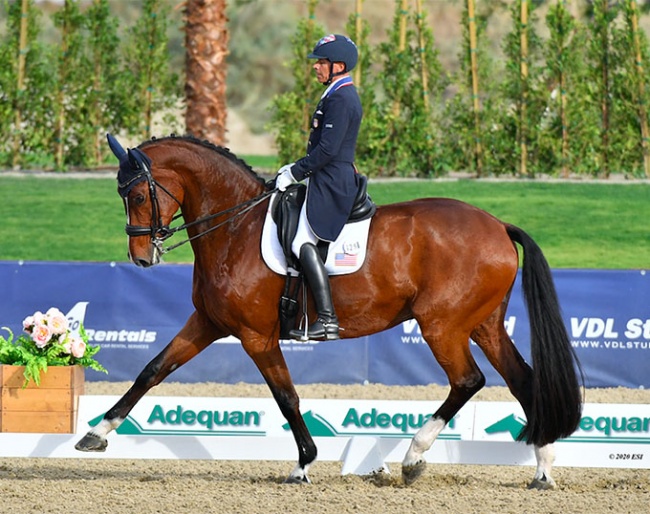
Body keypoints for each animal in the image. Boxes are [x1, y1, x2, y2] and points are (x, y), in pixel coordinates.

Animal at [73, 134, 580, 486]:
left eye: (138, 195)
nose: (142, 258)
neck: (235, 226)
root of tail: (497, 224)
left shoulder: (256, 336)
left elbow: (287, 396)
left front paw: (303, 464)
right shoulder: (208, 323)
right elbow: (152, 370)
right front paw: (97, 433)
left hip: (442, 325)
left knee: (468, 380)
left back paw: (413, 458)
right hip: (484, 325)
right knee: (522, 380)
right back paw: (543, 469)